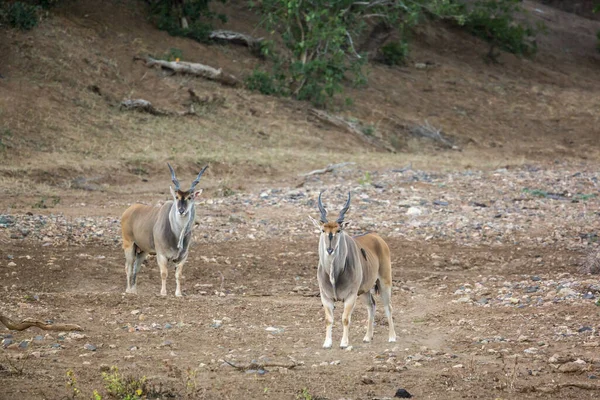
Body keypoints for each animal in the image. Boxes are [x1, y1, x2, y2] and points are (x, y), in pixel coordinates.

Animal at [119, 162, 209, 296]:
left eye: (190, 197)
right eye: (176, 197)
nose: (181, 210)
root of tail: (128, 210)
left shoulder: (183, 257)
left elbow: (178, 275)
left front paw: (178, 294)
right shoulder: (161, 255)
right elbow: (164, 273)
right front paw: (163, 292)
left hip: (142, 251)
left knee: (136, 267)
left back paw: (134, 290)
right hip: (128, 245)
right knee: (128, 267)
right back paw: (129, 290)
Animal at [310, 192, 398, 348]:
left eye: (338, 230)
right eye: (323, 230)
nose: (330, 250)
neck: (334, 275)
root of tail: (378, 238)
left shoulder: (350, 296)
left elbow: (345, 318)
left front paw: (344, 343)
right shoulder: (326, 297)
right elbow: (329, 319)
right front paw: (327, 343)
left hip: (384, 282)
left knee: (388, 307)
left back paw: (392, 337)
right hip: (365, 289)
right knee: (371, 306)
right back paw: (367, 337)